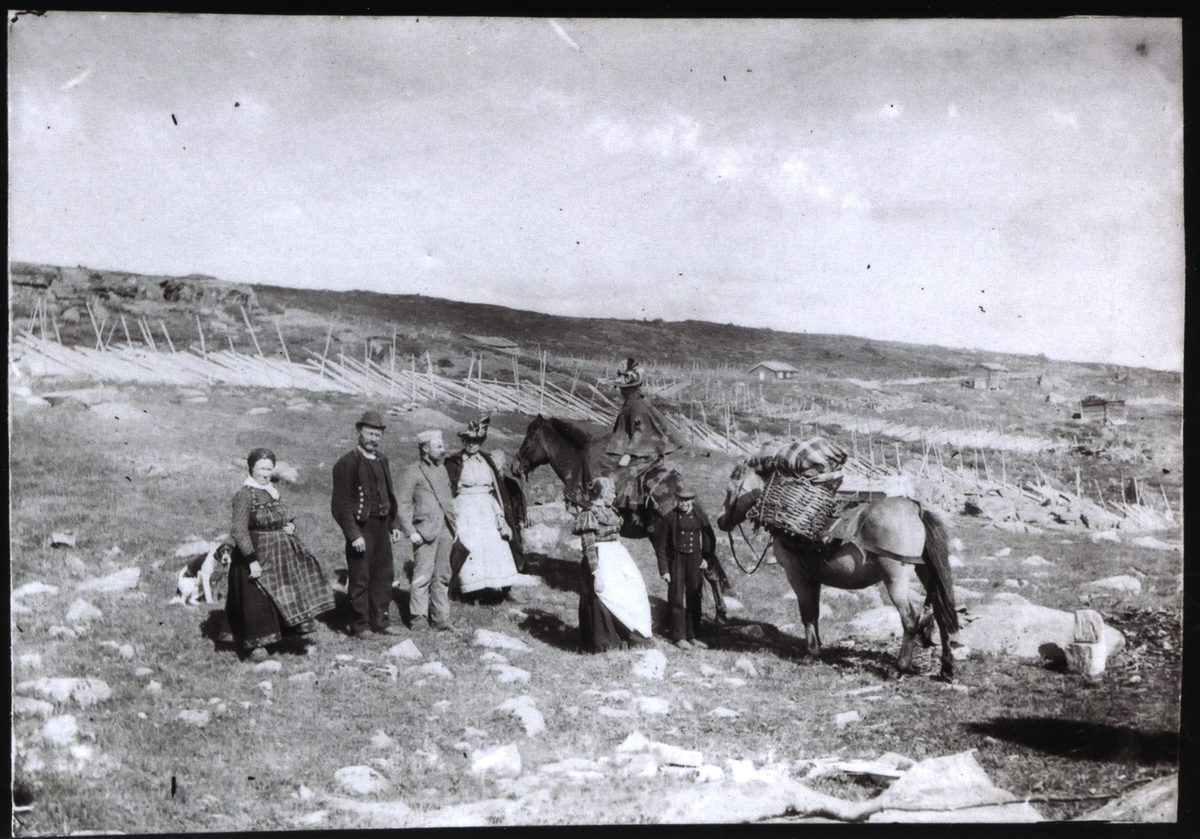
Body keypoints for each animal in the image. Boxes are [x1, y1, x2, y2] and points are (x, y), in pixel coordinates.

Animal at [715, 463, 960, 681]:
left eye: (729, 490)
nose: (719, 520)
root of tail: (915, 509)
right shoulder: (813, 578)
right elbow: (814, 613)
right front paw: (818, 649)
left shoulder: (796, 575)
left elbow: (806, 613)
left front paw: (812, 653)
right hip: (926, 572)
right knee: (940, 613)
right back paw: (946, 668)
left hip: (895, 578)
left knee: (910, 618)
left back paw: (900, 668)